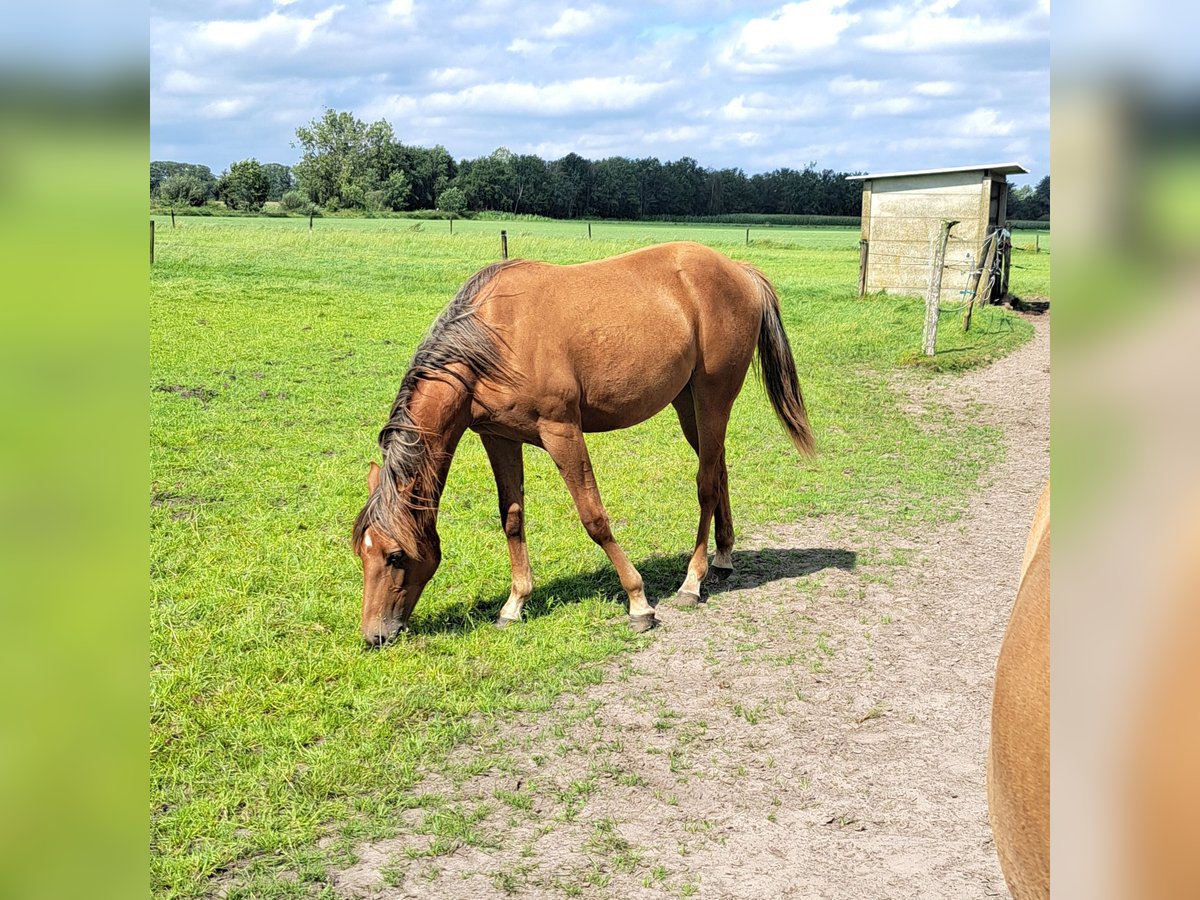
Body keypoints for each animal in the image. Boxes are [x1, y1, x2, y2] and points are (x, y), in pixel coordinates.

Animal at [350, 243, 816, 643]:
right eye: (361, 552)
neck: (494, 339)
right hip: (688, 405)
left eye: (395, 555)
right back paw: (723, 558)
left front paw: (638, 603)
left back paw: (692, 580)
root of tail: (738, 269)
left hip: (713, 398)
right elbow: (512, 518)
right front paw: (514, 605)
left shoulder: (562, 432)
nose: (375, 636)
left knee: (705, 484)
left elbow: (594, 517)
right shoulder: (498, 438)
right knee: (718, 470)